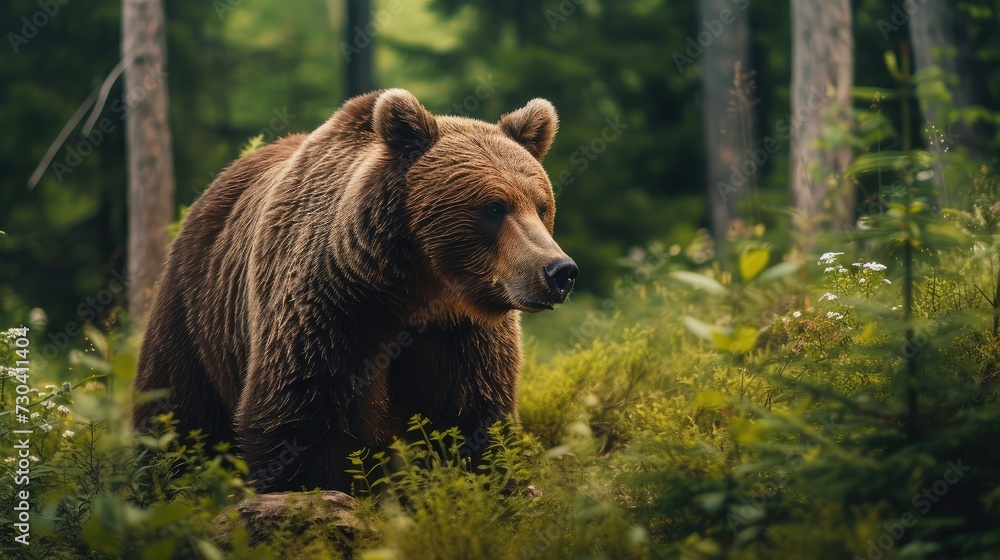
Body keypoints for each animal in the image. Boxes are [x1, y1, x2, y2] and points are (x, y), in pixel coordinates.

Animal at [131, 86, 580, 490]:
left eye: (541, 205)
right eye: (494, 206)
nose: (559, 271)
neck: (415, 287)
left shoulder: (463, 331)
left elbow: (474, 414)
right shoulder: (331, 307)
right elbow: (299, 417)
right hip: (196, 310)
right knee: (176, 408)